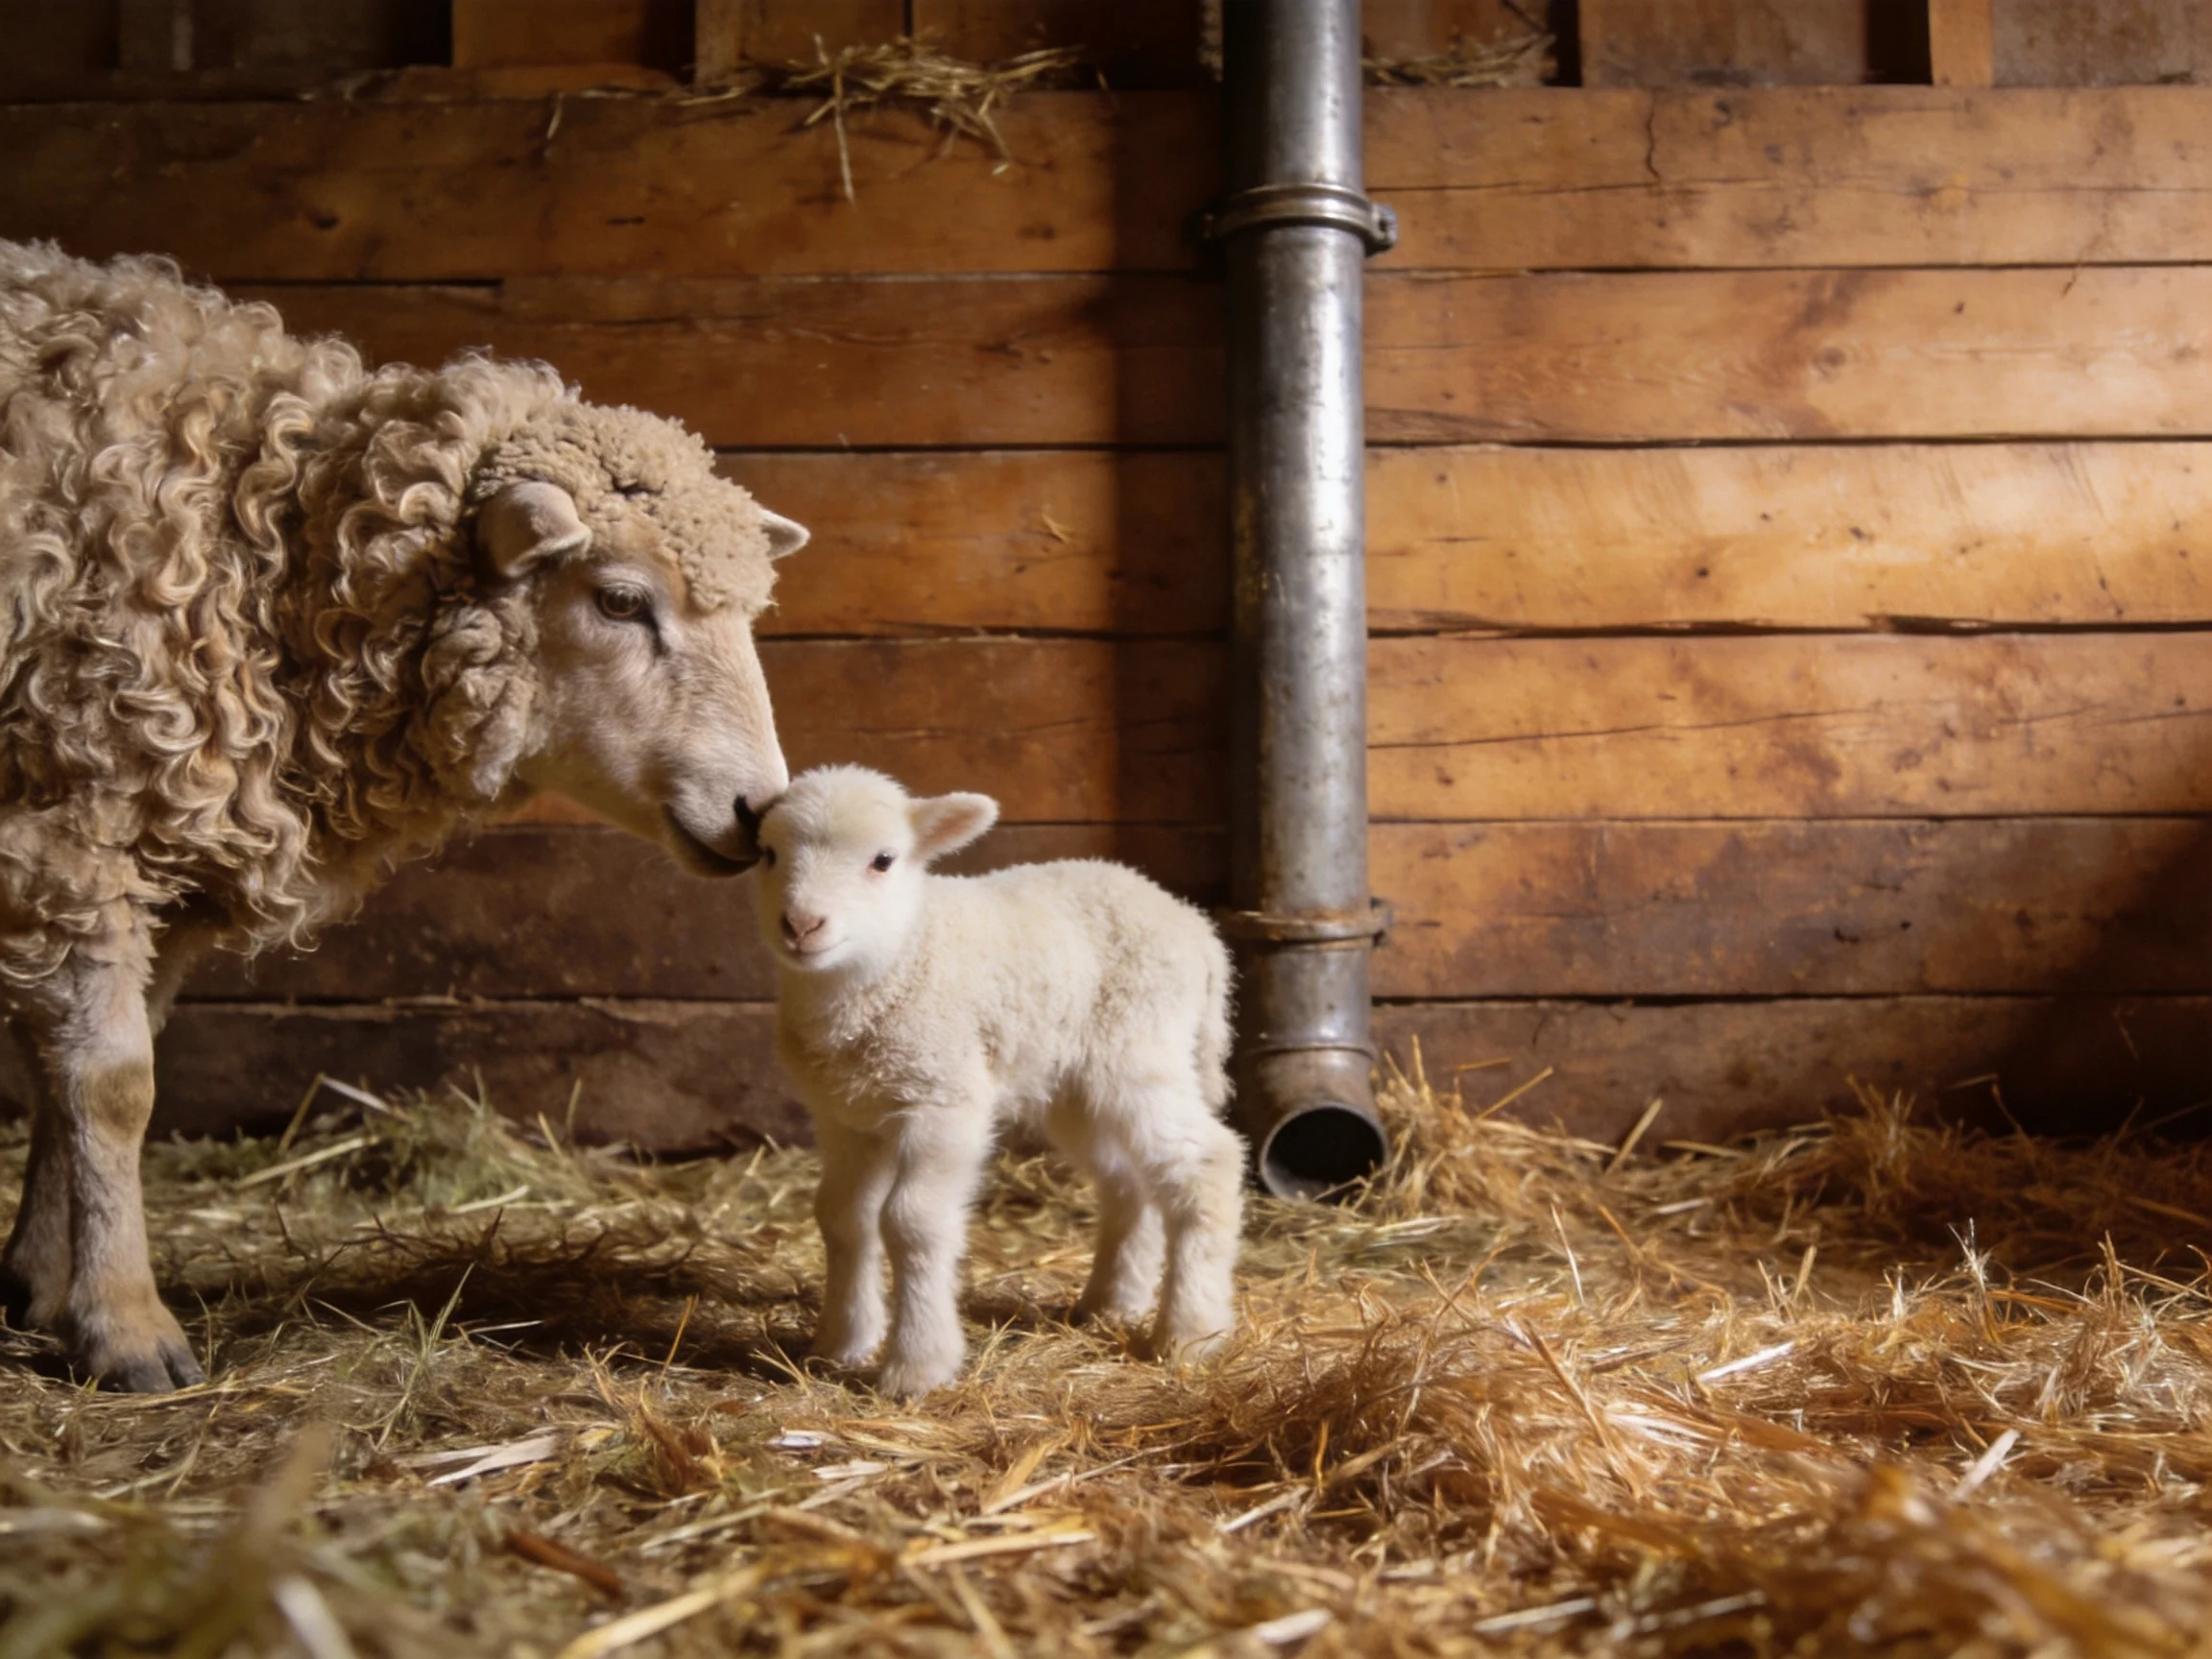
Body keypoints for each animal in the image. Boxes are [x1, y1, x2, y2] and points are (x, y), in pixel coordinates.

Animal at [0, 240, 810, 1390]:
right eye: (618, 600)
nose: (760, 809)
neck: (258, 554)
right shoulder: (75, 831)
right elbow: (113, 1084)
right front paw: (123, 1323)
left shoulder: (167, 850)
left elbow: (72, 1072)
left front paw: (38, 1277)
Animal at [754, 764, 1247, 1398]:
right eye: (768, 853)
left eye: (883, 860)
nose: (801, 924)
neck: (901, 957)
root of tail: (1195, 925)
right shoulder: (845, 1116)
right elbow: (841, 1217)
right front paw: (840, 1344)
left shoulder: (943, 1100)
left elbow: (911, 1222)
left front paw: (917, 1367)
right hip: (1079, 1084)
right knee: (1128, 1180)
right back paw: (1112, 1303)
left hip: (1140, 1051)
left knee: (1205, 1162)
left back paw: (1190, 1333)